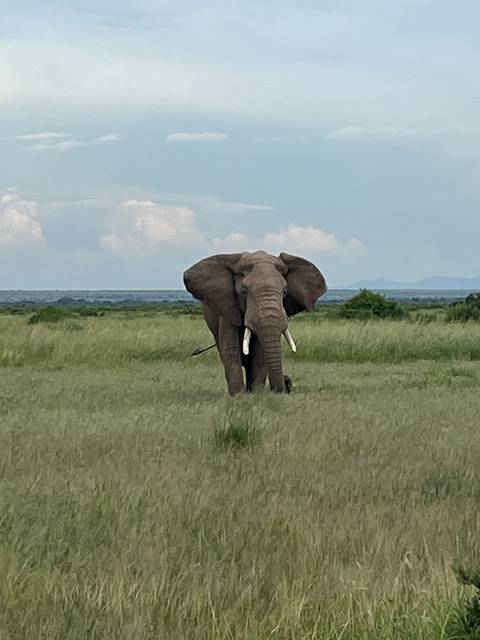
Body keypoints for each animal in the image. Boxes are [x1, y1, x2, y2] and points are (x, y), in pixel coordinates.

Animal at [183, 250, 327, 394]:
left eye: (285, 292)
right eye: (244, 291)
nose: (287, 382)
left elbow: (260, 352)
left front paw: (255, 393)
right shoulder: (227, 307)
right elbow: (230, 348)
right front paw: (238, 395)